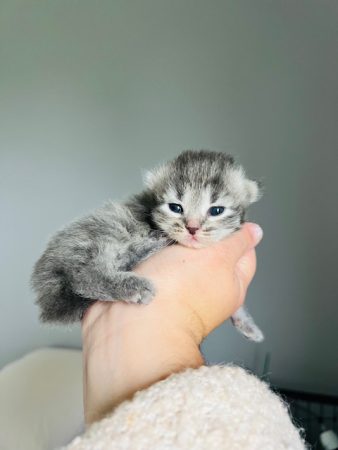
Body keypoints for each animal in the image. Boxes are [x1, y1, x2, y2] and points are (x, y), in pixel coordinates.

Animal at [31, 150, 264, 342]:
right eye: (176, 207)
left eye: (216, 210)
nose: (192, 228)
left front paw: (246, 323)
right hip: (107, 227)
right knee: (83, 274)